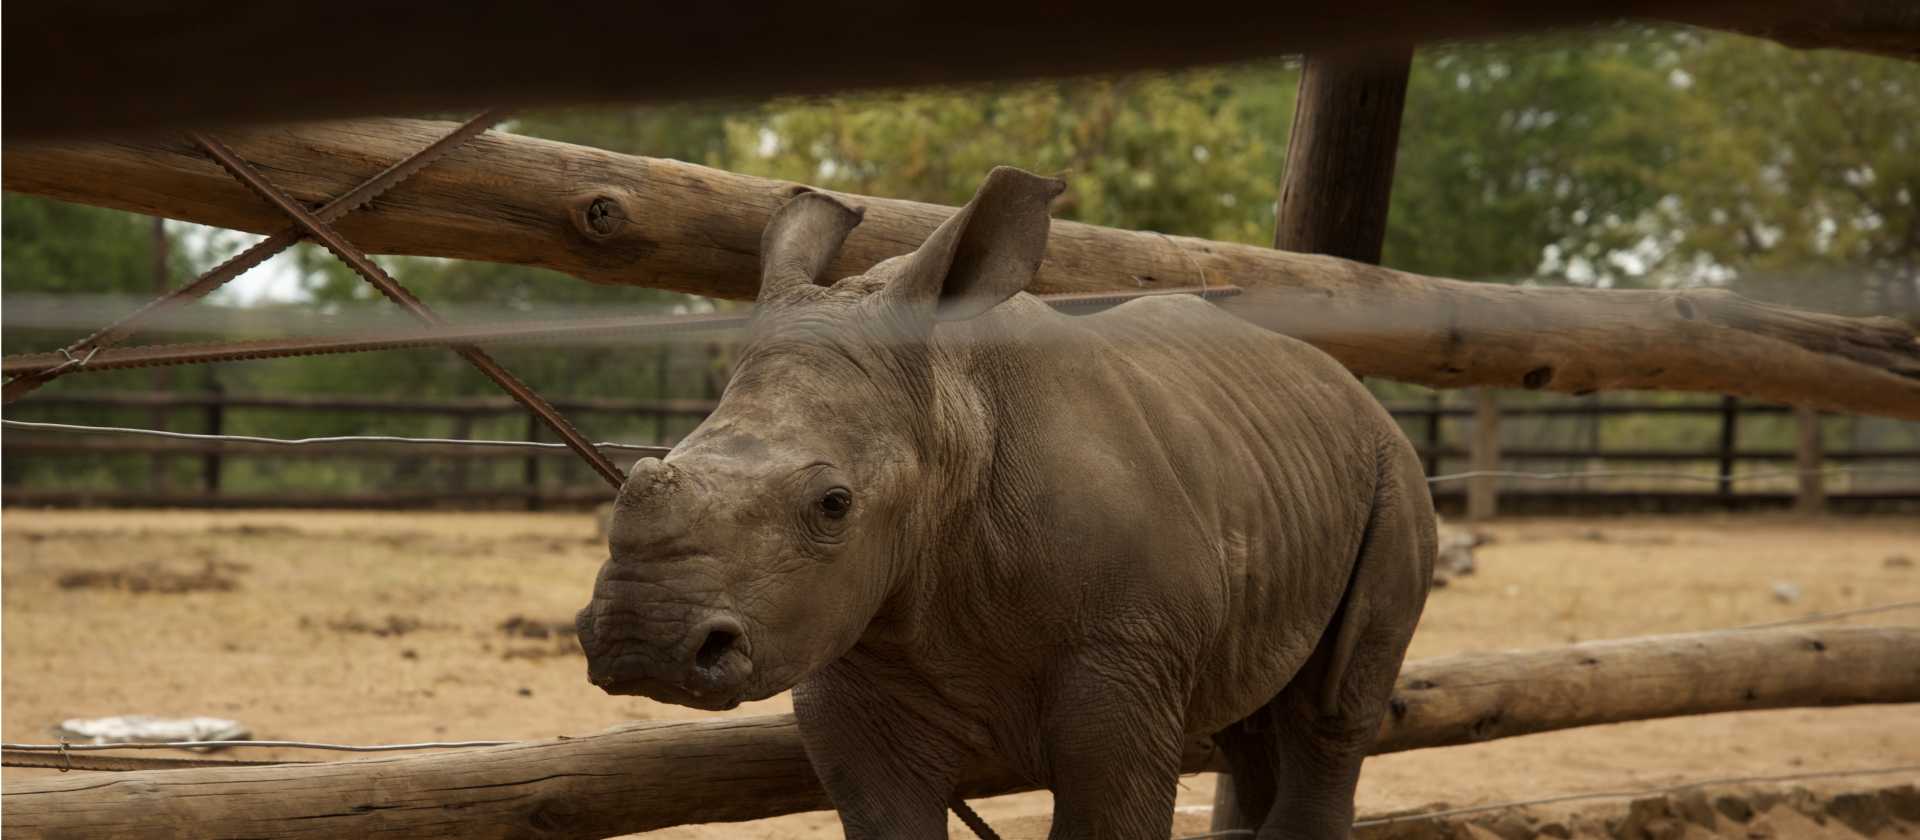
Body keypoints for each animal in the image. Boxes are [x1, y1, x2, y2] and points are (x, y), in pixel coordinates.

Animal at [577, 167, 1435, 839]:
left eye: (833, 504)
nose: (641, 637)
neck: (953, 419)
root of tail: (1346, 381)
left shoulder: (1125, 661)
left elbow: (1109, 814)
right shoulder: (853, 656)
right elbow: (886, 816)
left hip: (1394, 470)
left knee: (1333, 710)